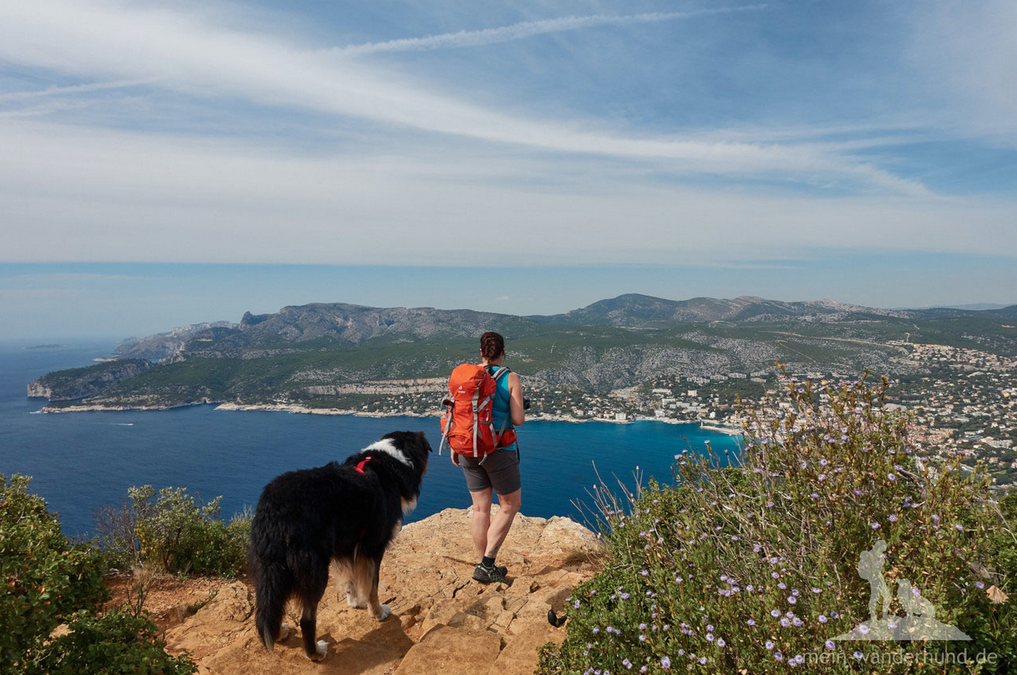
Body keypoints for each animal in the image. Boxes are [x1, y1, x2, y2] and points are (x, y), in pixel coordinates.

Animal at [253, 433, 433, 658]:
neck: (392, 461)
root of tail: (276, 508)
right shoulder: (373, 547)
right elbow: (372, 586)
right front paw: (378, 612)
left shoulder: (348, 545)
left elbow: (351, 579)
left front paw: (355, 601)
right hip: (315, 570)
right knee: (306, 619)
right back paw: (316, 652)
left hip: (269, 566)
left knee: (266, 609)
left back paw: (279, 633)